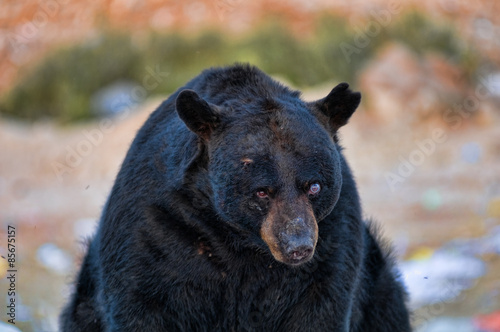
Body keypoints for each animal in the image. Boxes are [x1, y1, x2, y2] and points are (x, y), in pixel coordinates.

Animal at [59, 63, 410, 330]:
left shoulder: (332, 241)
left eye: (314, 186)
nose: (297, 246)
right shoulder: (156, 228)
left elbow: (322, 307)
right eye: (261, 191)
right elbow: (140, 301)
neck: (240, 242)